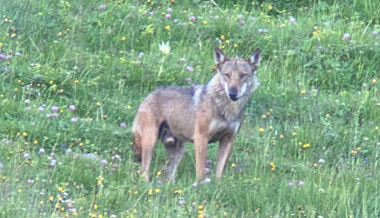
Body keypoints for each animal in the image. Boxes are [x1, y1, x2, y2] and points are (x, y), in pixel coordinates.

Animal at [133, 47, 262, 182]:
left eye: (243, 75)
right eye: (227, 75)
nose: (232, 93)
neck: (226, 108)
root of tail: (148, 96)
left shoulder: (228, 140)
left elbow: (219, 173)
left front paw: (217, 185)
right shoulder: (201, 138)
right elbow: (201, 171)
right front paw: (201, 185)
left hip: (178, 152)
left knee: (168, 178)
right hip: (150, 142)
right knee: (144, 171)